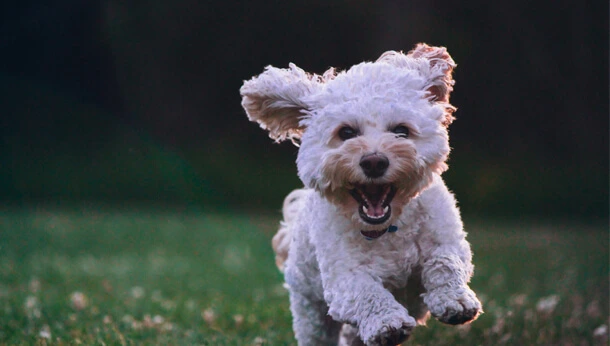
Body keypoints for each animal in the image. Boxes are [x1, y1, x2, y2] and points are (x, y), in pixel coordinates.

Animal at [238, 44, 480, 346]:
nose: (374, 162)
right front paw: (387, 322)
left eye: (401, 130)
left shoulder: (446, 239)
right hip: (310, 309)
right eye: (346, 132)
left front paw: (455, 301)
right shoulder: (343, 278)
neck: (388, 228)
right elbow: (367, 293)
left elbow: (445, 263)